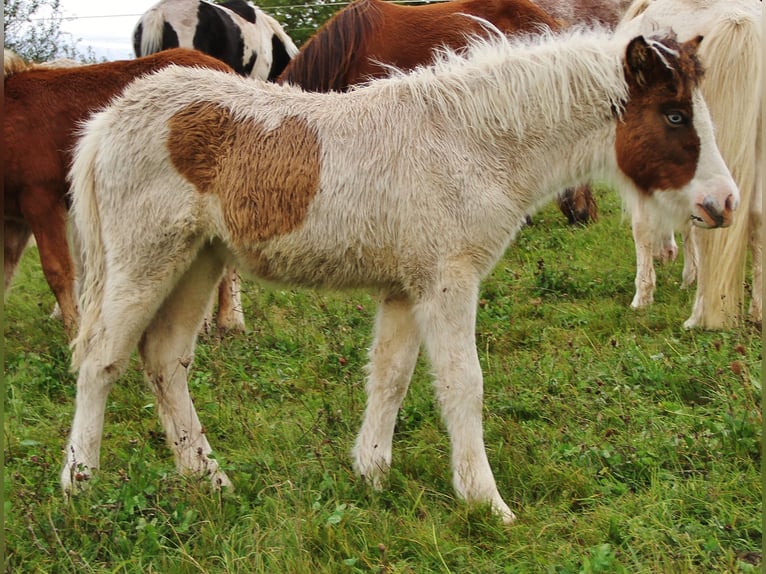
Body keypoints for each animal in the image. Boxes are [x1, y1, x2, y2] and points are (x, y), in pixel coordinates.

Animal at [60, 28, 736, 523]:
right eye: (676, 116)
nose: (724, 204)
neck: (473, 143)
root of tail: (104, 123)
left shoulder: (406, 289)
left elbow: (390, 376)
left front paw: (372, 473)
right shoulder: (447, 282)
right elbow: (463, 384)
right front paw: (487, 502)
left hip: (198, 261)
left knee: (165, 357)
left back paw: (209, 478)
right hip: (146, 259)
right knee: (100, 359)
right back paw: (79, 486)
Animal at [617, 0, 761, 329]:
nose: (667, 253)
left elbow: (643, 226)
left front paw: (643, 297)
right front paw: (689, 276)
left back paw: (699, 315)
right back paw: (758, 311)